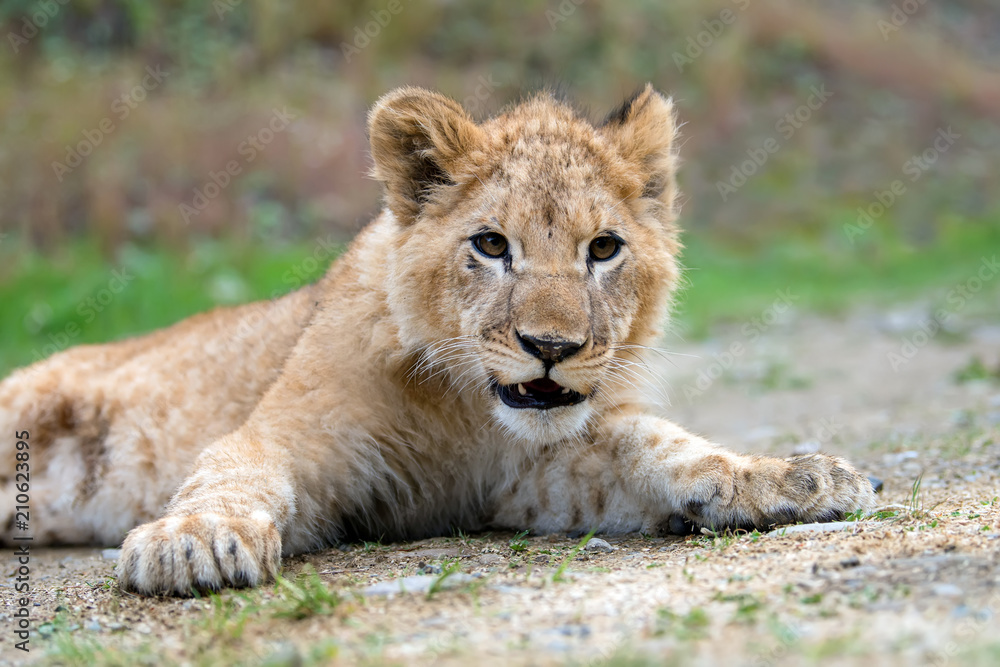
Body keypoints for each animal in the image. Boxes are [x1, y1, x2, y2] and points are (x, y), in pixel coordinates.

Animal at [0, 85, 877, 595]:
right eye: (491, 245)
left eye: (603, 248)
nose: (551, 346)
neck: (463, 406)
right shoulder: (302, 439)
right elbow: (235, 467)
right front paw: (191, 542)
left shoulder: (532, 473)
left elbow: (663, 446)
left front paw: (792, 477)